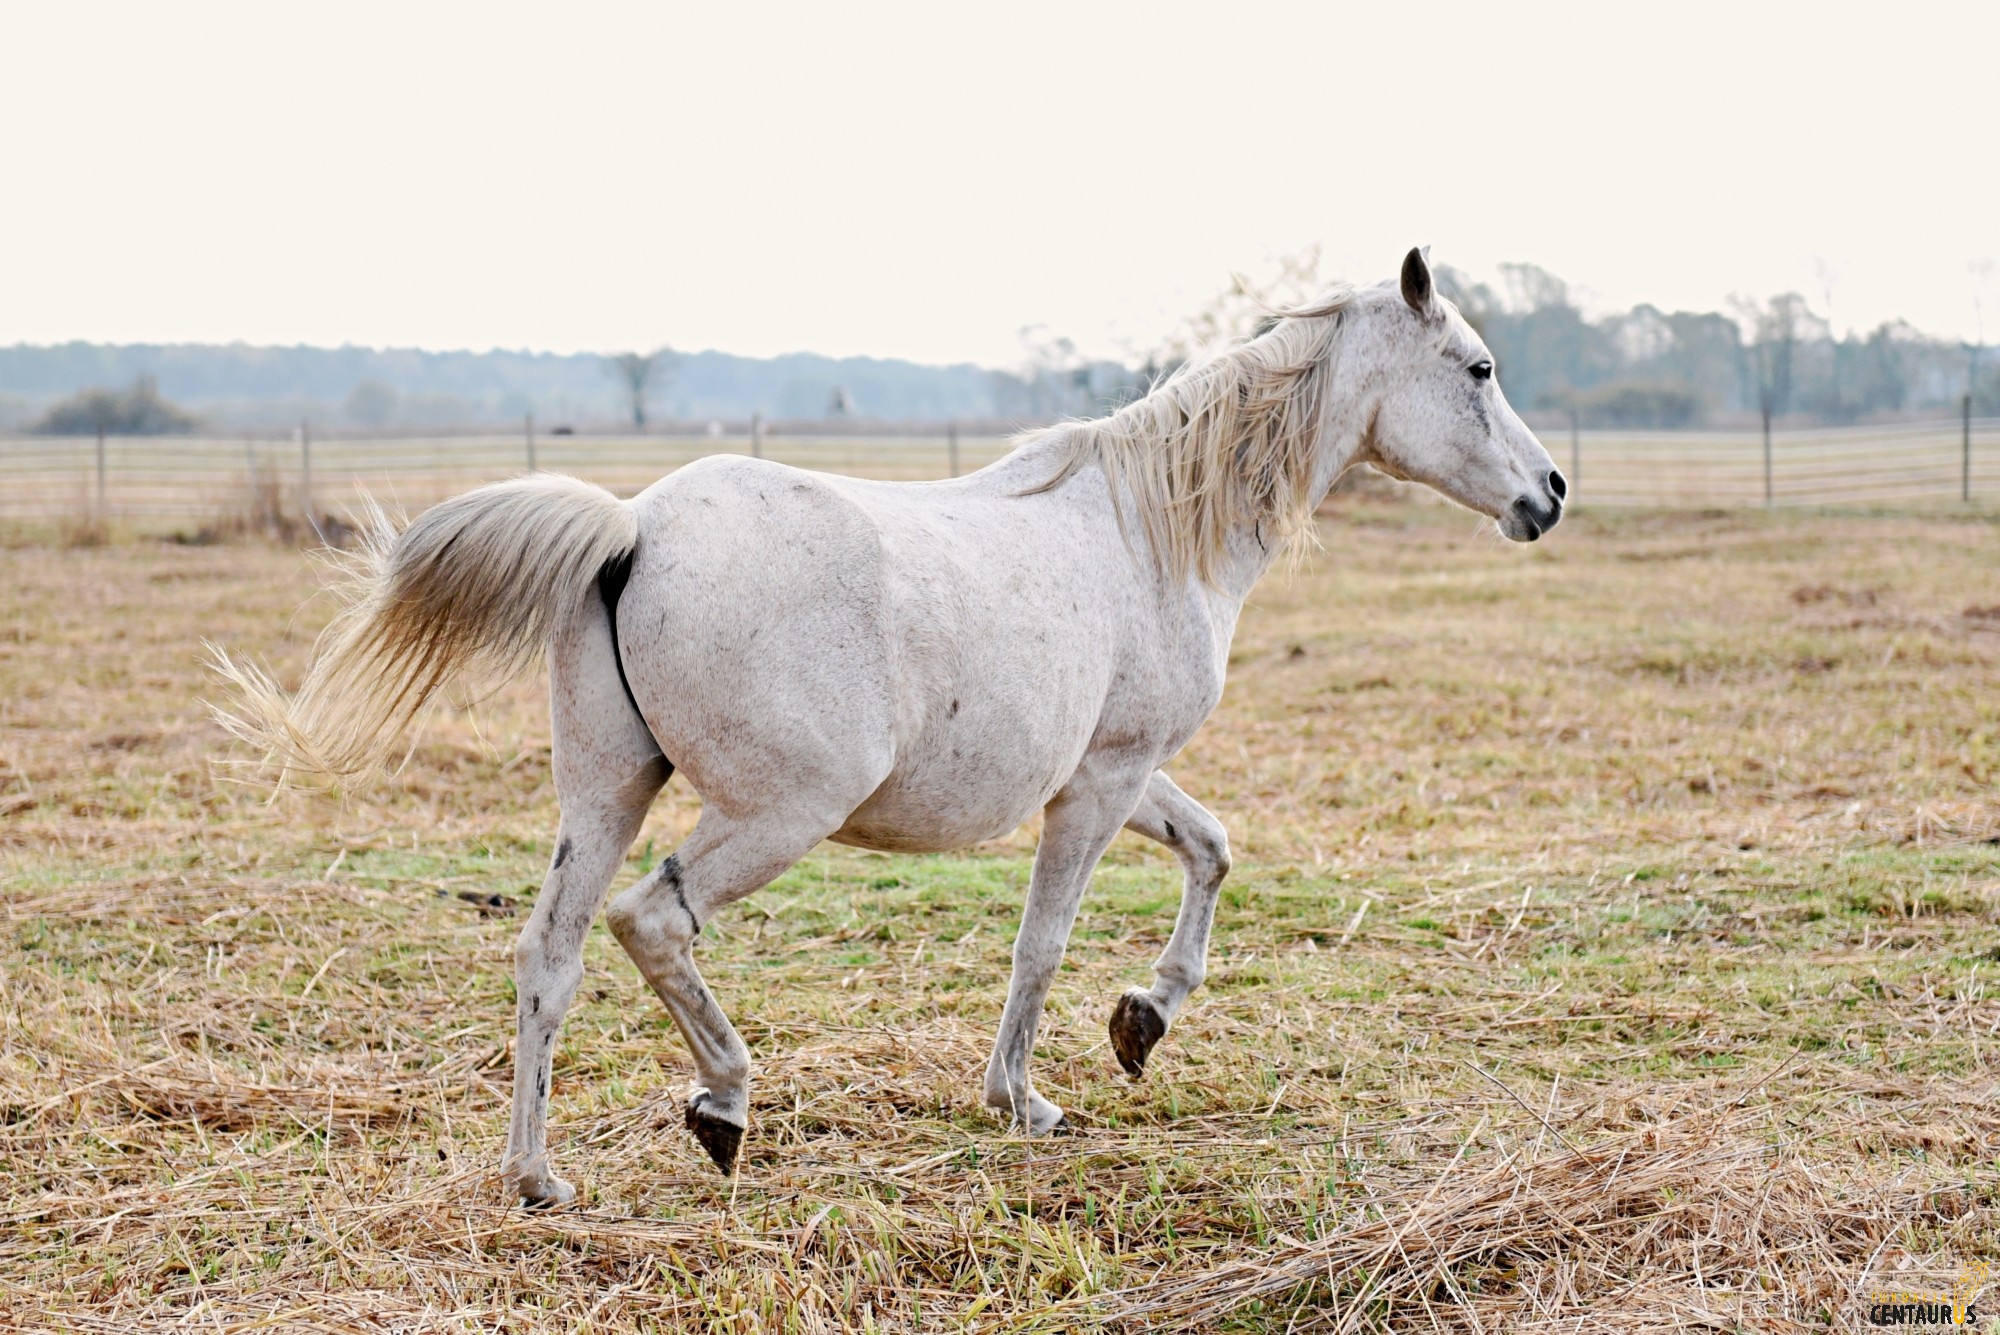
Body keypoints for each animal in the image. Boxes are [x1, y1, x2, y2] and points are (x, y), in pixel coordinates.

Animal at [219, 247, 1560, 1199]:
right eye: (1479, 370)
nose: (1547, 494)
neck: (1146, 529)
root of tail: (633, 529)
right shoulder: (1101, 782)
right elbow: (1040, 943)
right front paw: (1025, 1099)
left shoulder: (1116, 776)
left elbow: (1212, 849)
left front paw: (1144, 1020)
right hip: (774, 814)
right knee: (652, 920)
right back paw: (723, 1105)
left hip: (605, 792)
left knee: (547, 956)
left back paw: (537, 1178)